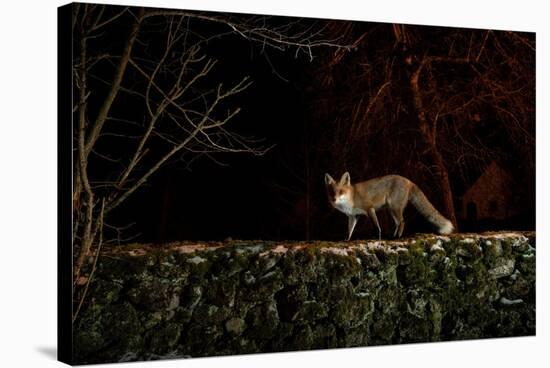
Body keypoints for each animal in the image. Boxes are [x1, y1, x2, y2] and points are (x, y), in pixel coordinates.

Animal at [326, 172, 454, 240]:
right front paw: (346, 240)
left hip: (394, 207)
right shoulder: (354, 216)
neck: (351, 198)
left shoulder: (369, 209)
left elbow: (376, 227)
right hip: (391, 210)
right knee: (398, 223)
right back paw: (393, 236)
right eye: (332, 192)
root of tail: (409, 181)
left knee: (402, 222)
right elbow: (349, 231)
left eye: (341, 191)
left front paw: (377, 238)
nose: (334, 199)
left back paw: (397, 237)